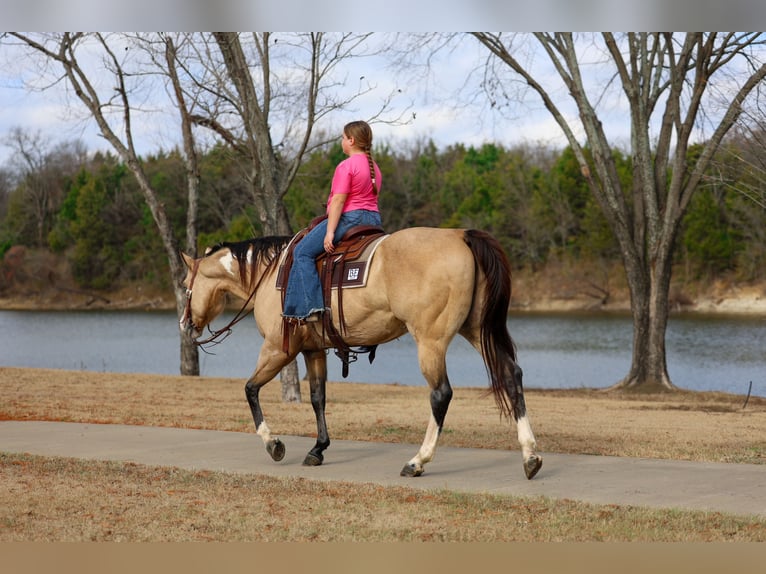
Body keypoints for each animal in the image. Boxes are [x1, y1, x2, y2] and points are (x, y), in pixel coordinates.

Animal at [180, 227, 542, 479]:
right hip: (477, 329)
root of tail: (460, 235)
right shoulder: (313, 350)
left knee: (441, 394)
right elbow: (318, 398)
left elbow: (251, 389)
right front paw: (318, 449)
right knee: (511, 375)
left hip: (431, 340)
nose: (185, 325)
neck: (270, 276)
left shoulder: (277, 349)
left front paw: (274, 445)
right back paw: (530, 456)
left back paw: (418, 461)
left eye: (185, 286)